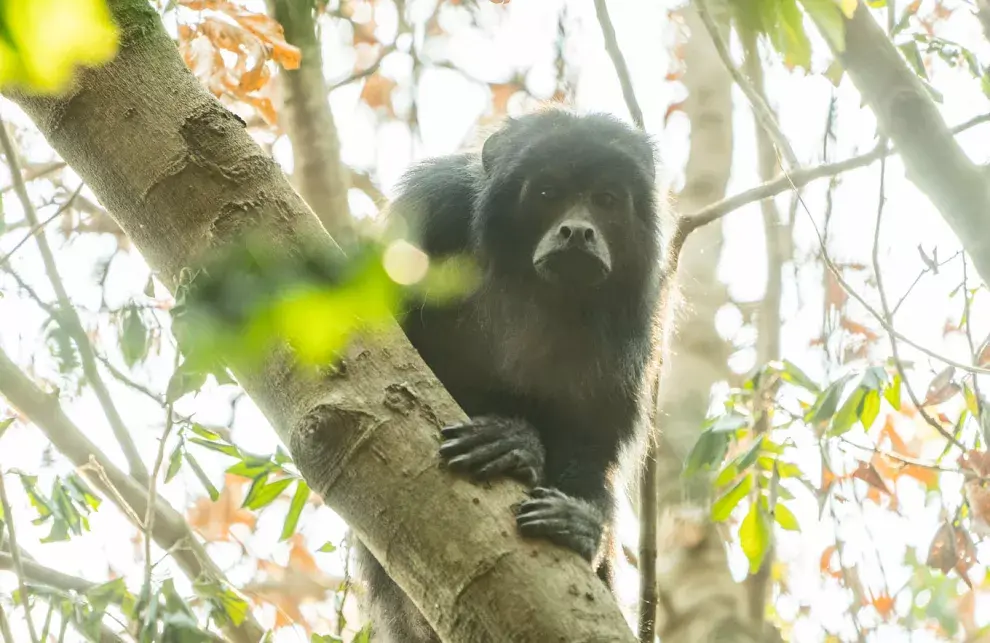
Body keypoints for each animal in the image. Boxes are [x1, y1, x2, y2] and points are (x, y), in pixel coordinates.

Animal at [352, 108, 672, 640]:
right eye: (546, 193)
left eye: (606, 199)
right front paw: (515, 439)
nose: (577, 231)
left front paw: (570, 506)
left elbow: (593, 444)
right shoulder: (431, 208)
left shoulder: (640, 312)